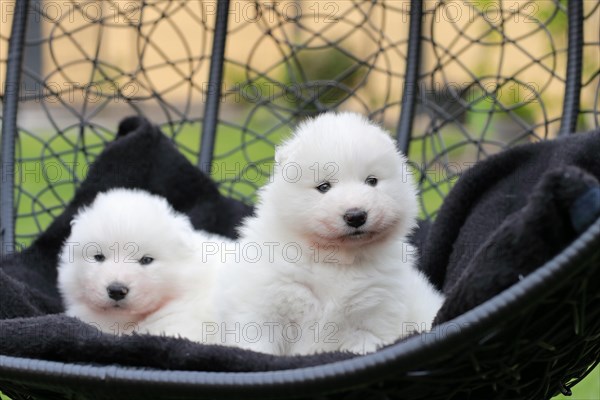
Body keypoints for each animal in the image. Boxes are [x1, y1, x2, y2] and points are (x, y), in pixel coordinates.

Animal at [217, 112, 446, 356]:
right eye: (324, 187)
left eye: (372, 181)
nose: (356, 216)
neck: (335, 258)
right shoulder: (265, 307)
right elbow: (258, 344)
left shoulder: (375, 314)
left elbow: (365, 340)